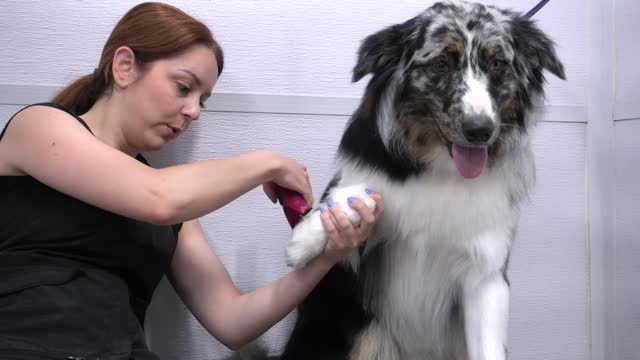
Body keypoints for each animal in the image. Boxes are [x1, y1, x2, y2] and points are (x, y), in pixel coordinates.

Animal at [229, 1, 564, 358]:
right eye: (441, 63)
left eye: (498, 63)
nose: (480, 131)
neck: (441, 168)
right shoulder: (344, 267)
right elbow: (361, 193)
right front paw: (306, 238)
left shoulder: (486, 273)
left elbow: (488, 345)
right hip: (365, 331)